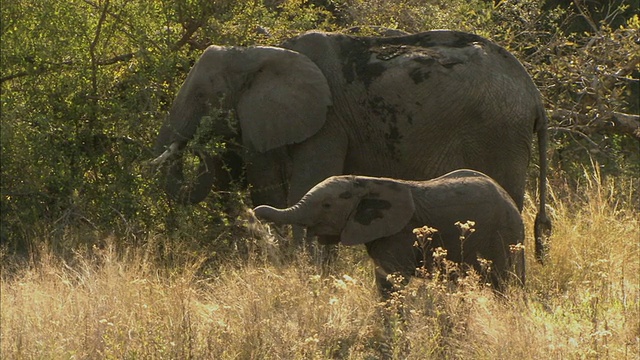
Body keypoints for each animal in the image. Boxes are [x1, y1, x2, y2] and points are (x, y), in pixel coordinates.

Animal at [152, 30, 552, 262]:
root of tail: (534, 94)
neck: (259, 52)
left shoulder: (327, 123)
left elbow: (297, 188)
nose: (198, 143)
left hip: (497, 133)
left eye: (204, 97)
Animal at [254, 169, 524, 296]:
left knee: (504, 282)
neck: (367, 182)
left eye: (327, 205)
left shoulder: (400, 232)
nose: (255, 210)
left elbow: (390, 280)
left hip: (503, 234)